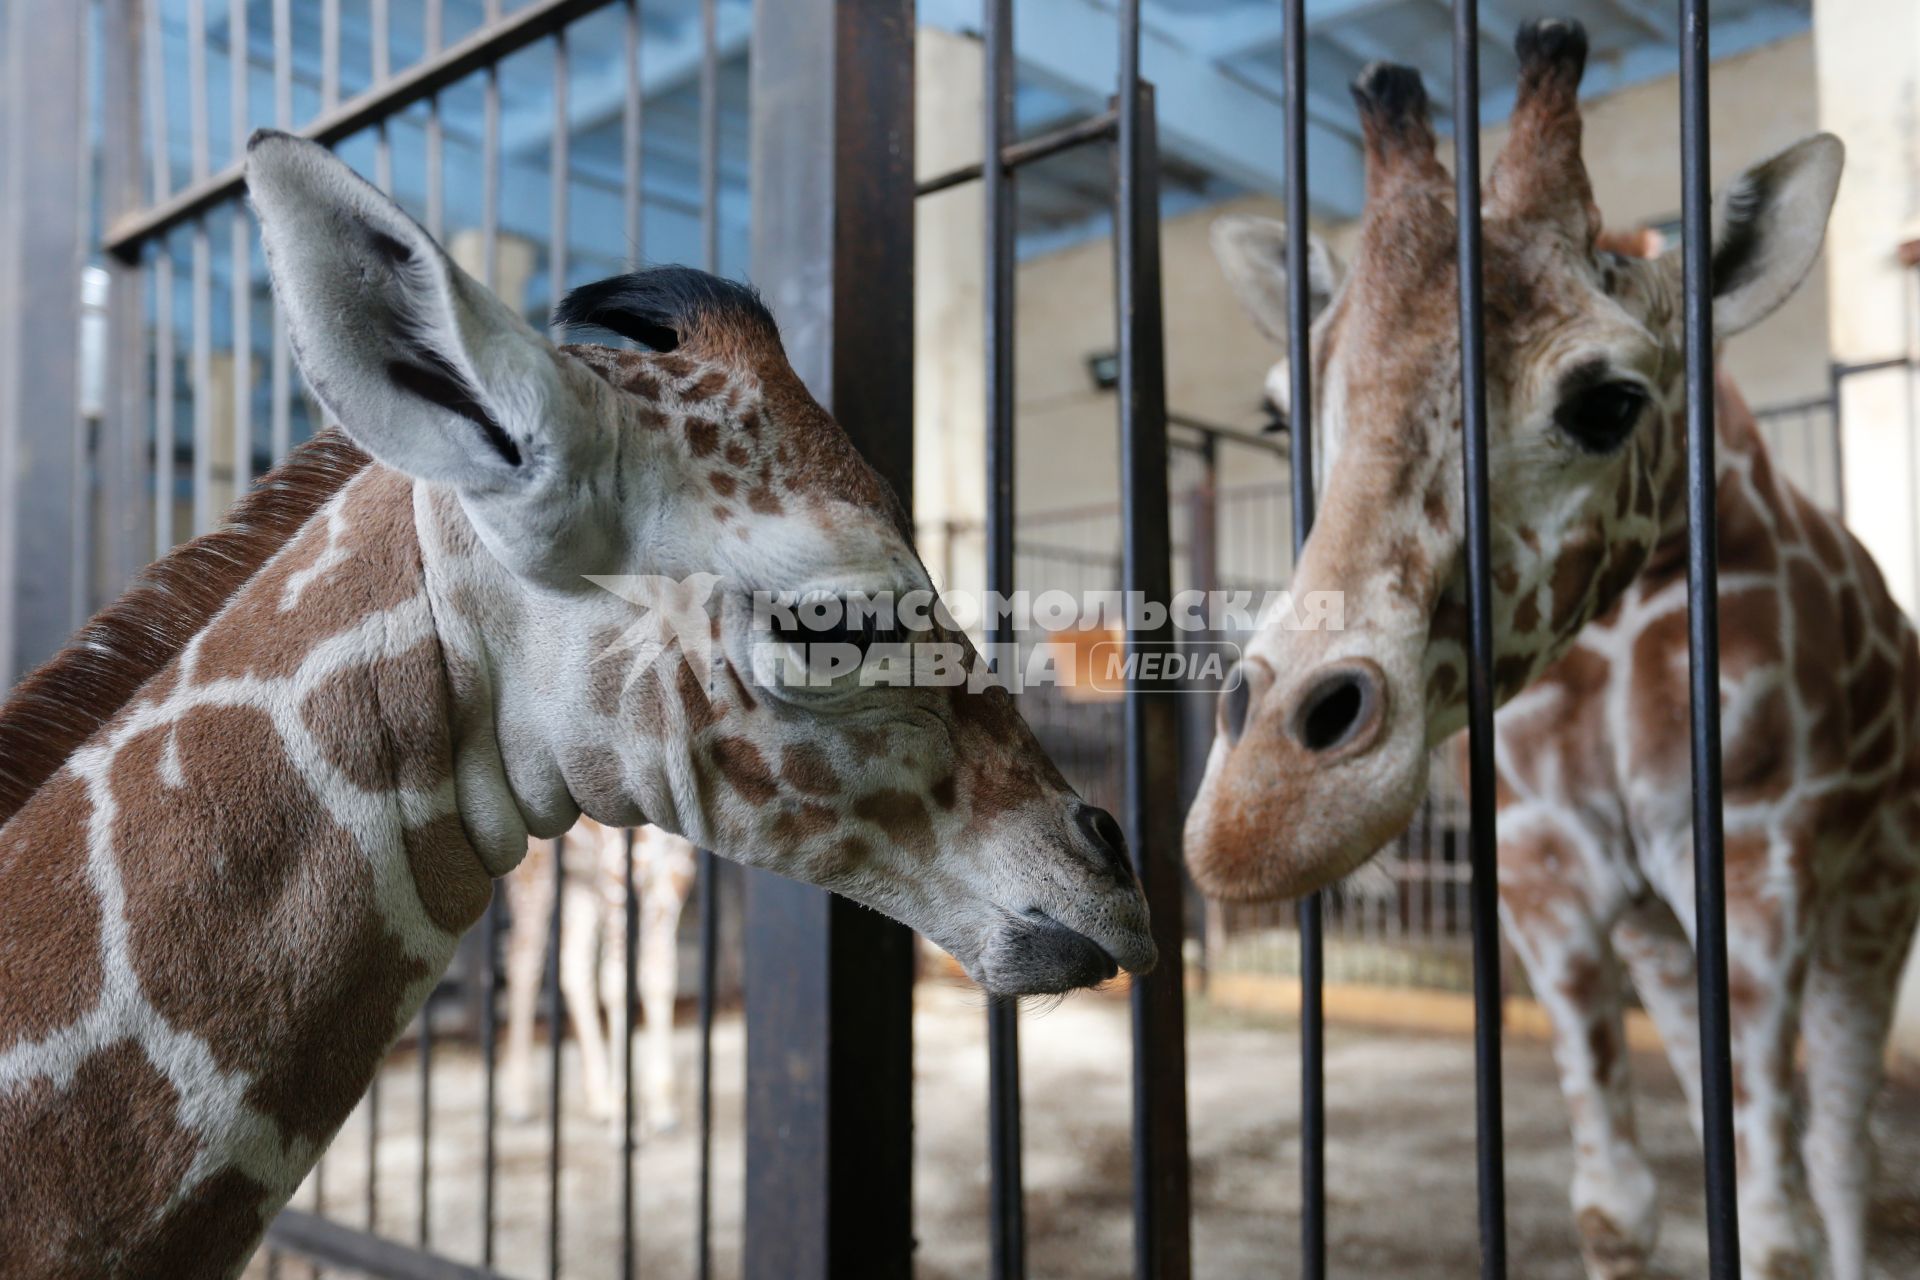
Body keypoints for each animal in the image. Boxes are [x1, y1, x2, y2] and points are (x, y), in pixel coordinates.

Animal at [503, 821, 698, 1128]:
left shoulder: (678, 865)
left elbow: (660, 978)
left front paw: (661, 1107)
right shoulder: (617, 864)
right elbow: (617, 983)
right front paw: (623, 1113)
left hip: (580, 874)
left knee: (572, 963)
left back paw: (598, 1099)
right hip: (535, 866)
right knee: (522, 960)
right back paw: (519, 1101)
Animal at [1190, 20, 1912, 1280]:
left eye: (1609, 401)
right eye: (1282, 413)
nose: (1262, 810)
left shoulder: (1762, 859)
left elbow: (1774, 1225)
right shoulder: (1543, 869)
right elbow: (1616, 1204)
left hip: (1876, 887)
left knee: (1839, 1143)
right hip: (1666, 928)